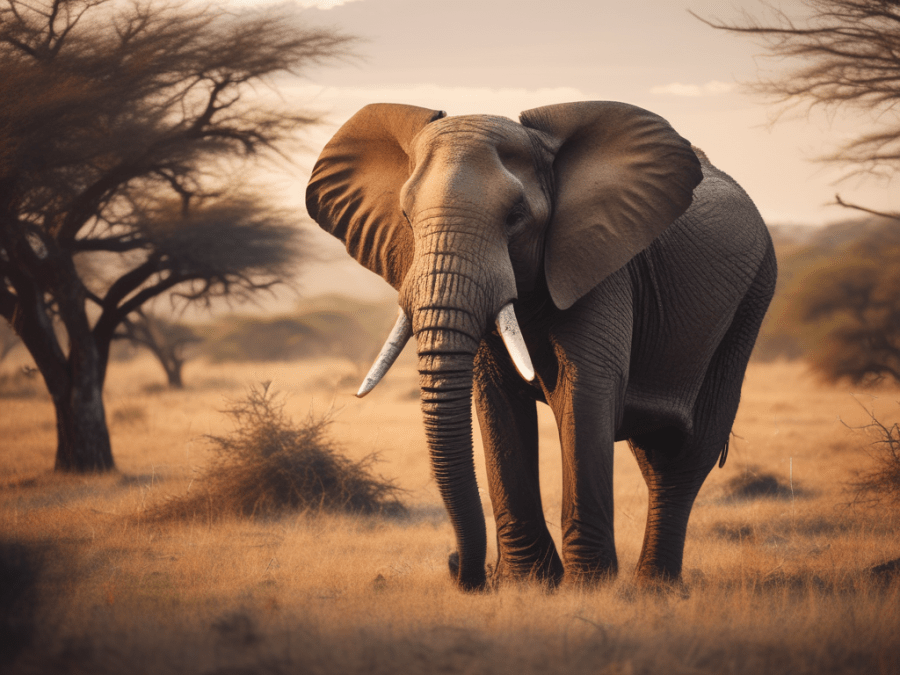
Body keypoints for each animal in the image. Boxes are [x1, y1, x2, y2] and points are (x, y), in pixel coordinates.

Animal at [306, 101, 776, 591]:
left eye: (516, 216)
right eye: (405, 215)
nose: (459, 567)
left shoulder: (601, 261)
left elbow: (585, 387)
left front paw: (587, 587)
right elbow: (495, 400)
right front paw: (527, 583)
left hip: (753, 295)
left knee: (686, 454)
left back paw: (653, 589)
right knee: (655, 454)